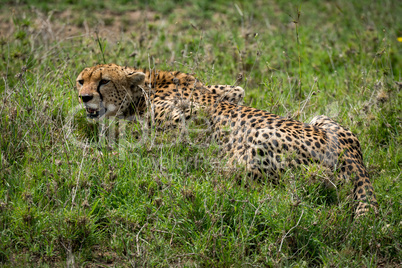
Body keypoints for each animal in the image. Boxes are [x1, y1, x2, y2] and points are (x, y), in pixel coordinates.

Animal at [75, 63, 376, 218]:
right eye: (80, 81)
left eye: (103, 81)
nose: (84, 97)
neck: (145, 86)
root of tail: (356, 163)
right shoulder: (230, 91)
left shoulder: (191, 113)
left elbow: (163, 137)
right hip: (323, 119)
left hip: (259, 142)